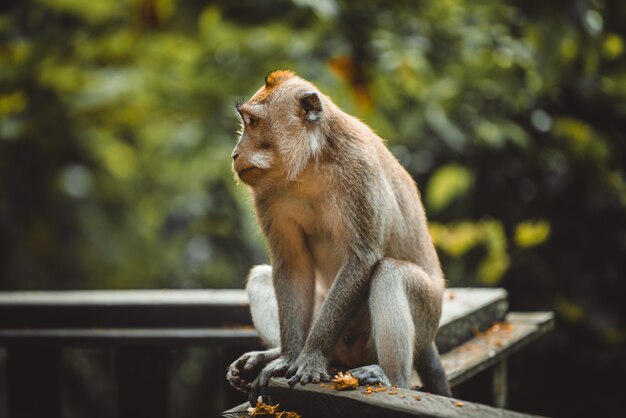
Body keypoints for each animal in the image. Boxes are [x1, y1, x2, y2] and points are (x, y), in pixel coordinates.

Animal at [224, 70, 448, 404]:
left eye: (252, 122)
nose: (236, 154)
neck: (310, 164)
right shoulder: (267, 193)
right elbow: (292, 264)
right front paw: (287, 359)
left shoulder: (359, 169)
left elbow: (362, 259)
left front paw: (310, 357)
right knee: (262, 276)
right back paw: (273, 354)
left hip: (427, 317)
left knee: (389, 273)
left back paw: (390, 377)